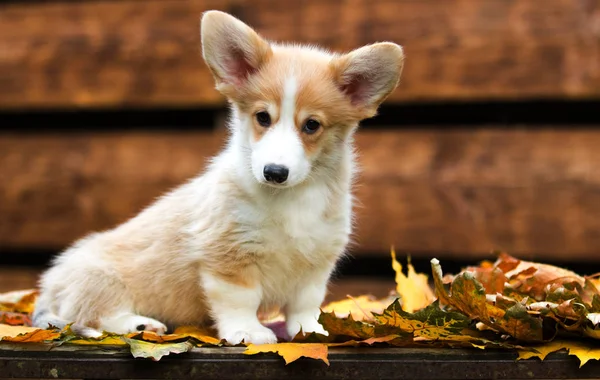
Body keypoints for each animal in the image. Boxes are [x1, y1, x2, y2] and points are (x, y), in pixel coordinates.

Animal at [31, 9, 404, 344]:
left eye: (311, 125)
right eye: (262, 117)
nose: (274, 172)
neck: (290, 199)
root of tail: (48, 288)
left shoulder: (316, 262)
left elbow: (305, 305)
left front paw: (311, 332)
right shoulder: (228, 256)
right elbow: (241, 301)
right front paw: (248, 333)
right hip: (100, 280)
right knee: (93, 315)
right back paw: (140, 324)